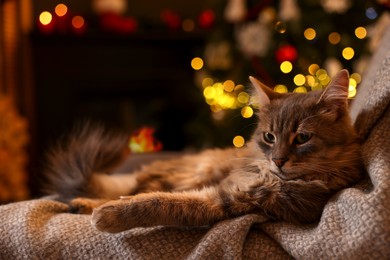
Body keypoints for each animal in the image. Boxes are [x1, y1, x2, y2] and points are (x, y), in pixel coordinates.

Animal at [44, 69, 364, 234]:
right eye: (269, 137)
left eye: (303, 138)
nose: (278, 160)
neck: (269, 178)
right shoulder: (224, 187)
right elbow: (152, 197)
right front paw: (104, 210)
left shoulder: (227, 201)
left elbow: (161, 203)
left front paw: (109, 216)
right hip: (193, 173)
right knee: (132, 188)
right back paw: (83, 203)